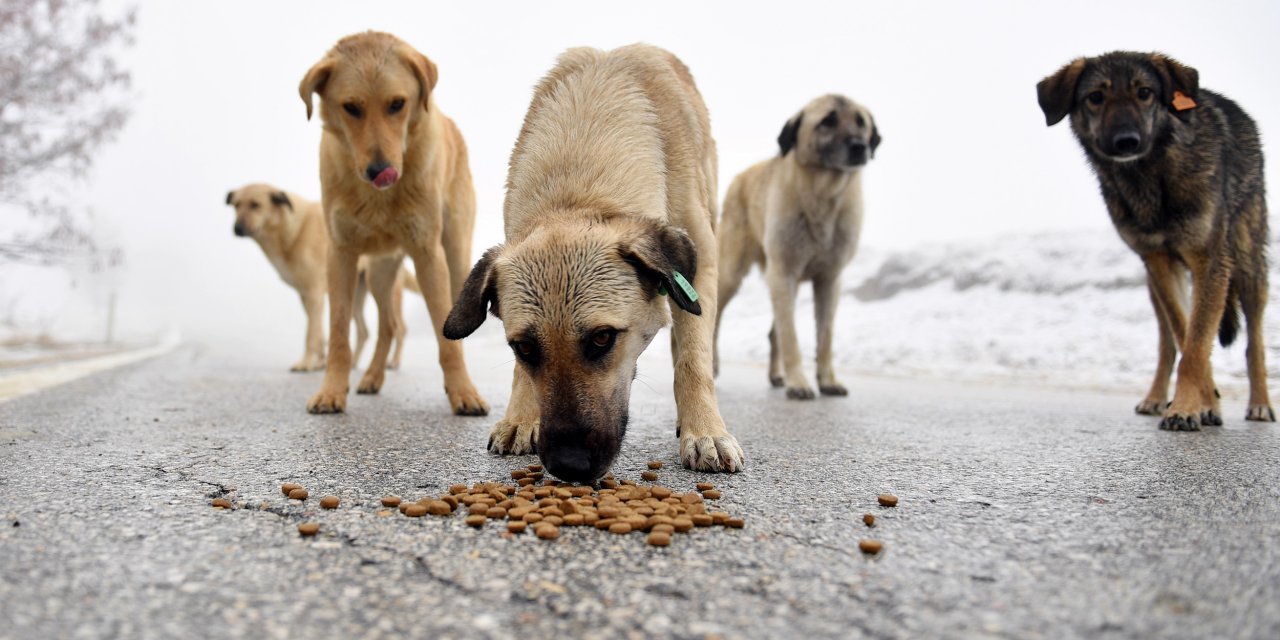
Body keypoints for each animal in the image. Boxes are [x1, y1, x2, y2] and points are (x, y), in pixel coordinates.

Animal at [224, 183, 414, 373]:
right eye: (236, 205)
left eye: (255, 205)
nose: (237, 229)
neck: (292, 230)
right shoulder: (306, 296)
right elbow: (319, 333)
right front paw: (319, 363)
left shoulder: (314, 293)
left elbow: (311, 334)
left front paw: (306, 363)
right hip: (353, 295)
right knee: (364, 331)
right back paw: (352, 363)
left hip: (385, 291)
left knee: (399, 328)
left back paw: (393, 362)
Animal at [296, 32, 486, 417]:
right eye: (351, 107)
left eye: (397, 104)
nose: (380, 170)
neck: (378, 199)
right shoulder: (340, 254)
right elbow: (339, 331)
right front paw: (331, 390)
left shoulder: (428, 253)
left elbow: (446, 337)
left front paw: (462, 391)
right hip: (380, 271)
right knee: (389, 325)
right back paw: (371, 377)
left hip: (456, 255)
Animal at [442, 45, 747, 481]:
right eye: (524, 347)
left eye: (603, 338)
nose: (569, 465)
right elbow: (519, 374)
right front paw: (521, 417)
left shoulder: (700, 266)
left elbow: (693, 360)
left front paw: (705, 431)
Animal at [711, 94, 880, 399]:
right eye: (828, 121)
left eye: (861, 122)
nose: (859, 147)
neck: (824, 195)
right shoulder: (783, 273)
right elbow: (791, 336)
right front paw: (799, 382)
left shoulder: (829, 279)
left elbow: (824, 337)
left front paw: (827, 380)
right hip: (732, 273)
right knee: (716, 319)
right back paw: (714, 365)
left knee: (773, 332)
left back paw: (776, 375)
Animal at [1039, 51, 1269, 430]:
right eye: (1096, 97)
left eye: (1144, 92)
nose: (1126, 141)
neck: (1150, 176)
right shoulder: (1159, 262)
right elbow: (1187, 337)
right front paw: (1201, 403)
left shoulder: (1210, 261)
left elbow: (1197, 343)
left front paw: (1188, 407)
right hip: (1155, 285)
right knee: (1168, 343)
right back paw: (1160, 398)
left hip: (1247, 266)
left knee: (1254, 342)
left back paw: (1261, 404)